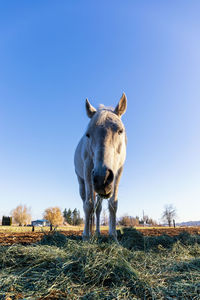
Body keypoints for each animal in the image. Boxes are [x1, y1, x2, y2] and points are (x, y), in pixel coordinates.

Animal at [74, 93, 127, 239]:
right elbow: (88, 206)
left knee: (97, 209)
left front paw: (113, 236)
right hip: (83, 182)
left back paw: (97, 233)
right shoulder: (88, 172)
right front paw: (86, 236)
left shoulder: (118, 173)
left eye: (120, 131)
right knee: (86, 203)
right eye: (88, 134)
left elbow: (113, 204)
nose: (102, 178)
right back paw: (88, 232)